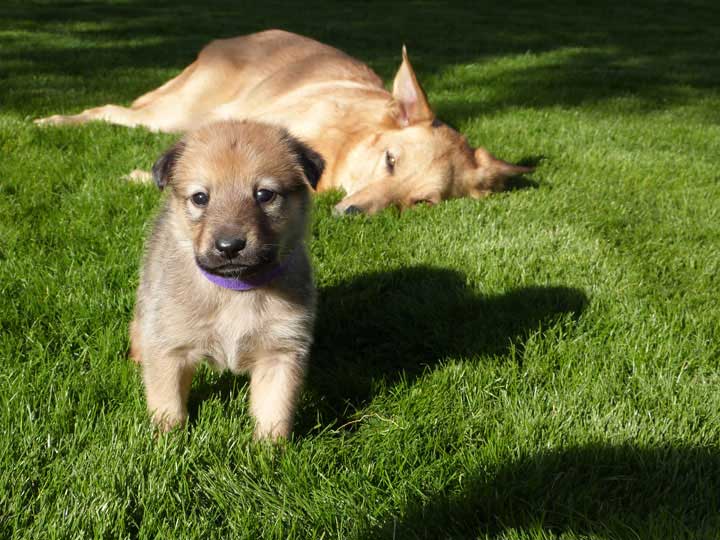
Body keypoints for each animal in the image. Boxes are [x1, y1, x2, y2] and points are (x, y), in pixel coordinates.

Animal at [36, 29, 532, 214]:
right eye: (390, 160)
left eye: (423, 202)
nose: (351, 213)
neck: (341, 149)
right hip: (173, 114)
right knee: (107, 111)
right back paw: (50, 121)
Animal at [129, 119, 324, 438]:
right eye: (200, 197)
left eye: (264, 194)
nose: (230, 246)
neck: (235, 290)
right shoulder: (170, 347)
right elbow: (167, 401)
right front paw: (167, 440)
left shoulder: (281, 350)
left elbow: (275, 409)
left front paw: (270, 447)